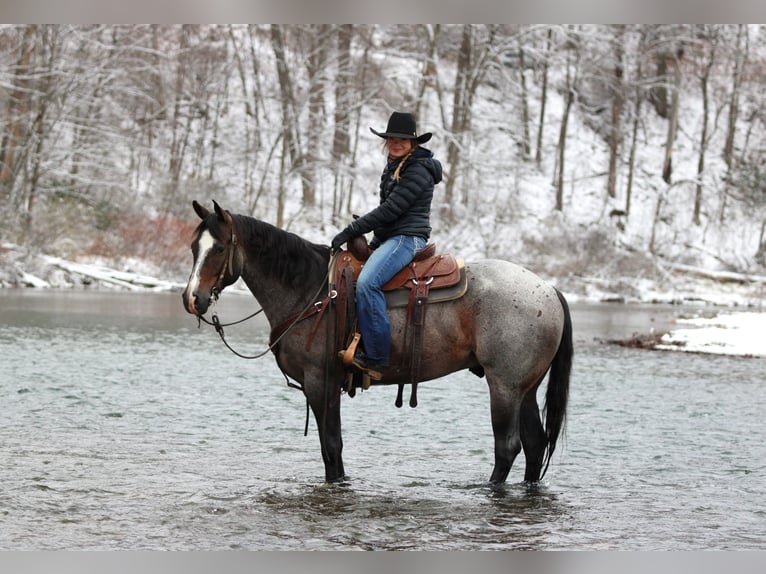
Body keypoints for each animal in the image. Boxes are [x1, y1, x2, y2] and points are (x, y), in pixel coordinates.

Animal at [182, 200, 573, 485]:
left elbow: (331, 446)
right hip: (525, 389)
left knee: (507, 447)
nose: (192, 299)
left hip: (504, 386)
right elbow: (332, 448)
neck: (312, 291)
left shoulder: (320, 382)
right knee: (535, 445)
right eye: (193, 247)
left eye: (219, 248)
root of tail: (549, 289)